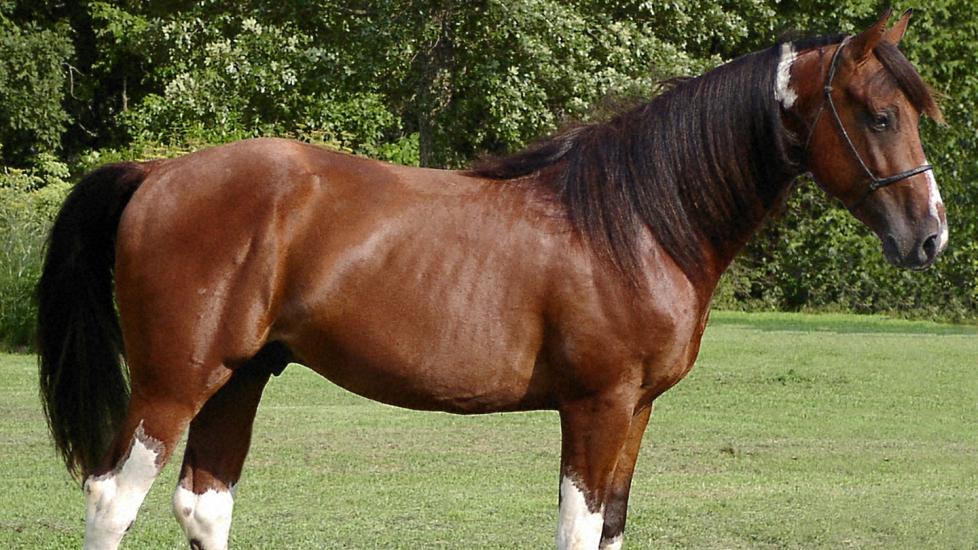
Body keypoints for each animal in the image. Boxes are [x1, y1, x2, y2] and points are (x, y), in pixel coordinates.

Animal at [38, 9, 944, 550]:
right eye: (878, 115)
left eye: (910, 111)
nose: (930, 235)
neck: (637, 219)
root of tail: (158, 173)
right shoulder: (596, 406)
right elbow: (579, 530)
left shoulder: (637, 411)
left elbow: (613, 527)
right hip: (174, 382)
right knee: (112, 498)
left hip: (242, 376)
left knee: (205, 502)